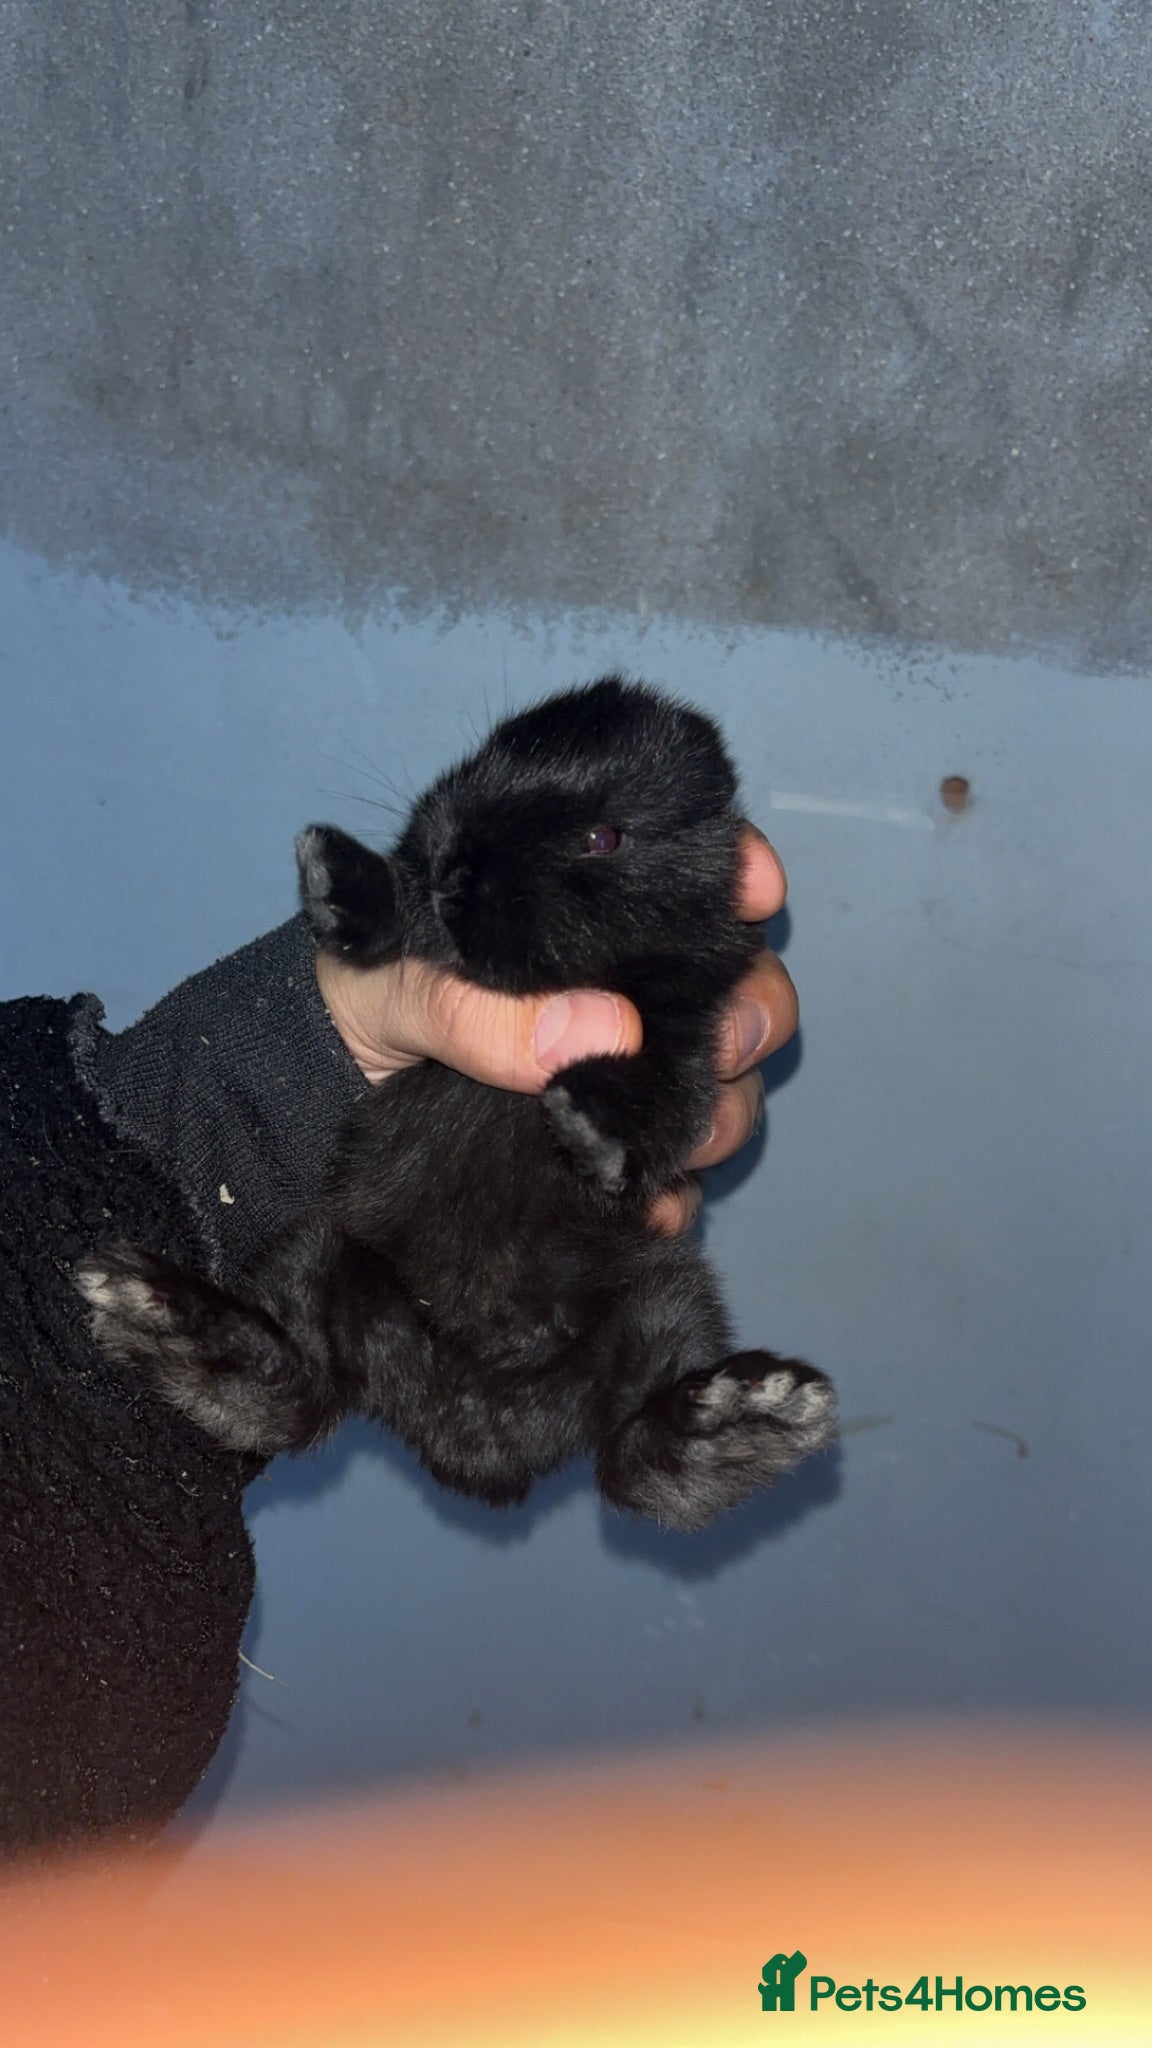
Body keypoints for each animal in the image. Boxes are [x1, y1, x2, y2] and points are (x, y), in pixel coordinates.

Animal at [78, 678, 836, 1533]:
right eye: (485, 759)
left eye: (603, 837)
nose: (453, 860)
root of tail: (472, 1427)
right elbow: (404, 924)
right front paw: (342, 876)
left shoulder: (693, 1033)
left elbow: (663, 1099)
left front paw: (593, 1127)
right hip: (326, 1249)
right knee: (297, 1386)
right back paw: (164, 1316)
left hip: (663, 1299)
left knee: (635, 1460)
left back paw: (745, 1418)